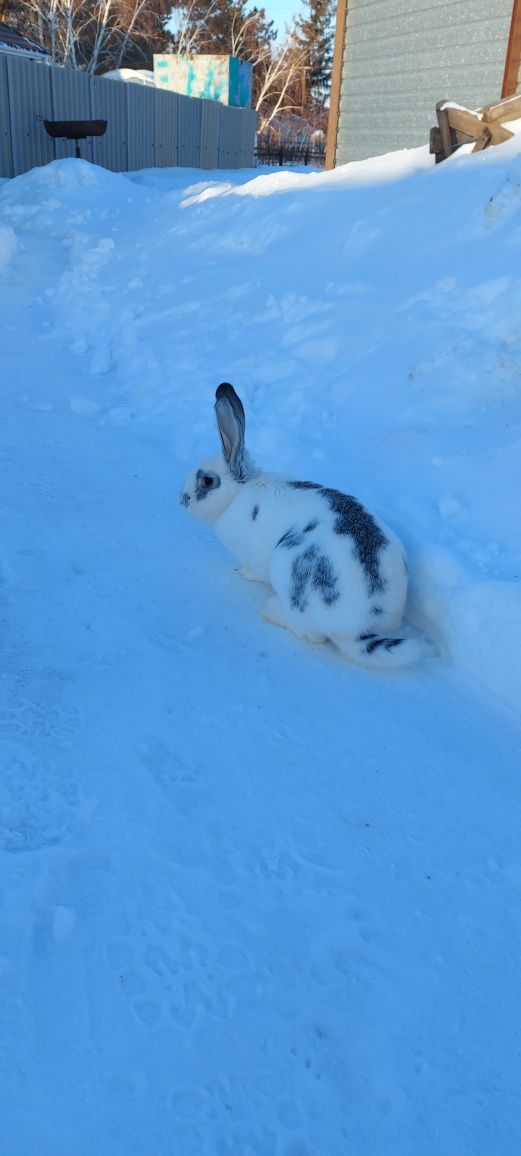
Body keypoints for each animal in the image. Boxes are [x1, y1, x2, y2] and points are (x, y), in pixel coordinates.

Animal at [181, 383, 429, 670]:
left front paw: (243, 574)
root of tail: (357, 628)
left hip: (287, 569)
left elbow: (253, 571)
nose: (182, 500)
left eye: (207, 481)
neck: (239, 493)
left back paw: (271, 610)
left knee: (311, 634)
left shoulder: (254, 559)